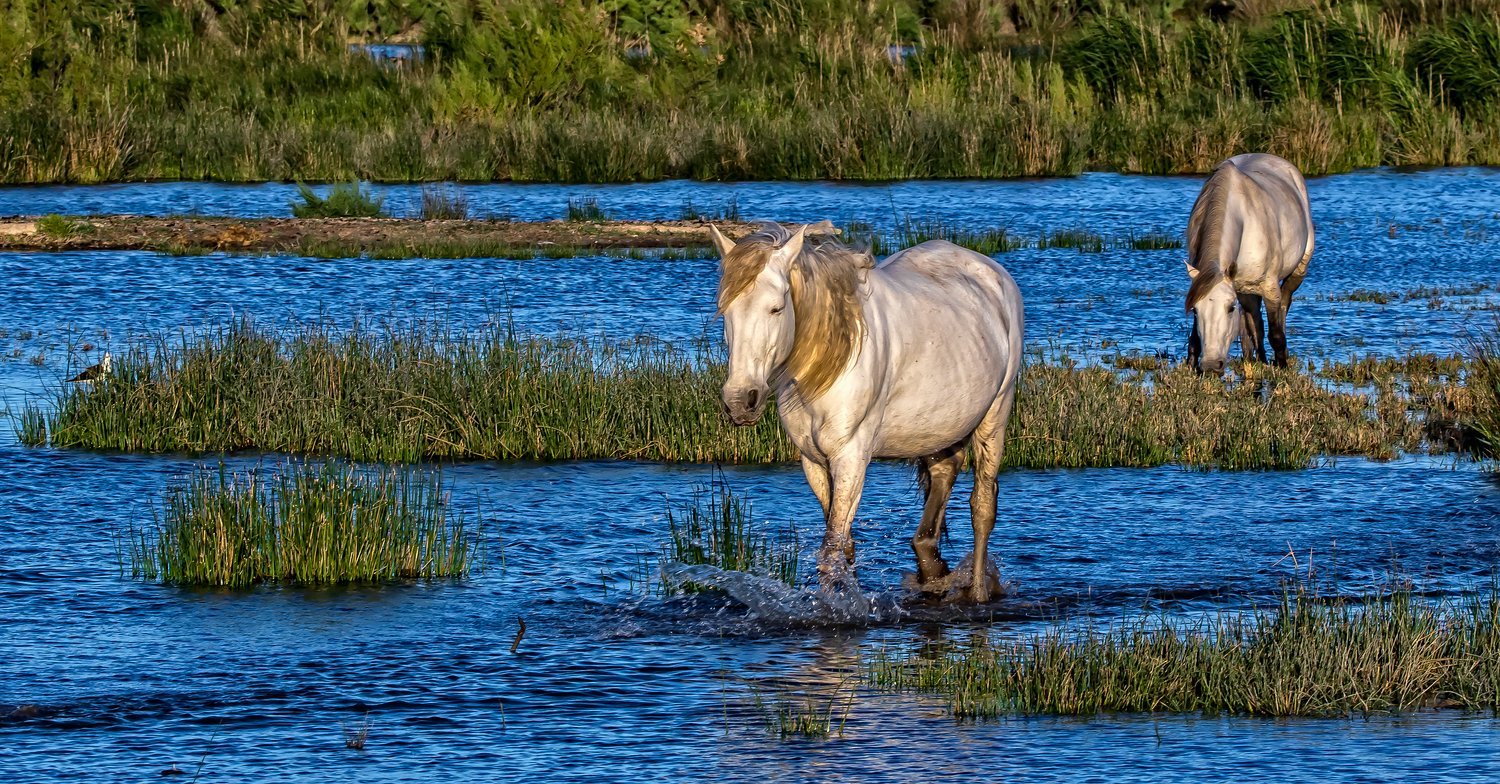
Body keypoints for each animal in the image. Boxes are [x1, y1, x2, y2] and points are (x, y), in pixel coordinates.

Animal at [708, 223, 1026, 605]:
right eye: (725, 311)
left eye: (776, 308)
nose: (740, 400)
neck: (830, 359)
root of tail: (992, 272)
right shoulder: (814, 462)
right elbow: (843, 547)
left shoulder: (851, 457)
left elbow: (831, 549)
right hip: (939, 426)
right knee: (942, 476)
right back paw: (932, 568)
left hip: (996, 415)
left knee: (982, 509)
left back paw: (977, 592)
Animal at [1182, 155, 1314, 376]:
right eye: (1195, 311)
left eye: (1230, 308)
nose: (1211, 365)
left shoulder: (1269, 288)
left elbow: (1275, 334)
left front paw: (1282, 368)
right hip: (1245, 289)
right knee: (1254, 325)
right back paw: (1254, 358)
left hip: (1295, 274)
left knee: (1283, 307)